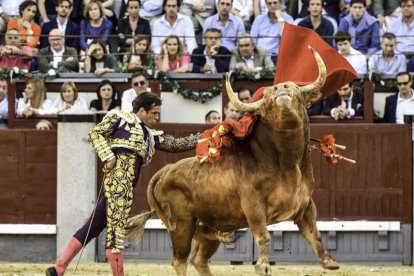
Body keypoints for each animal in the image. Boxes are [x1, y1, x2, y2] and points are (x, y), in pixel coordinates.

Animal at [129, 46, 340, 274]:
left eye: (295, 90)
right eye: (266, 100)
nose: (279, 89)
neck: (286, 162)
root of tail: (165, 170)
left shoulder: (306, 205)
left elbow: (314, 234)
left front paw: (329, 262)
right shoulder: (253, 205)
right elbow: (263, 235)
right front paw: (263, 266)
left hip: (209, 227)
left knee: (198, 259)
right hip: (181, 224)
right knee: (179, 259)